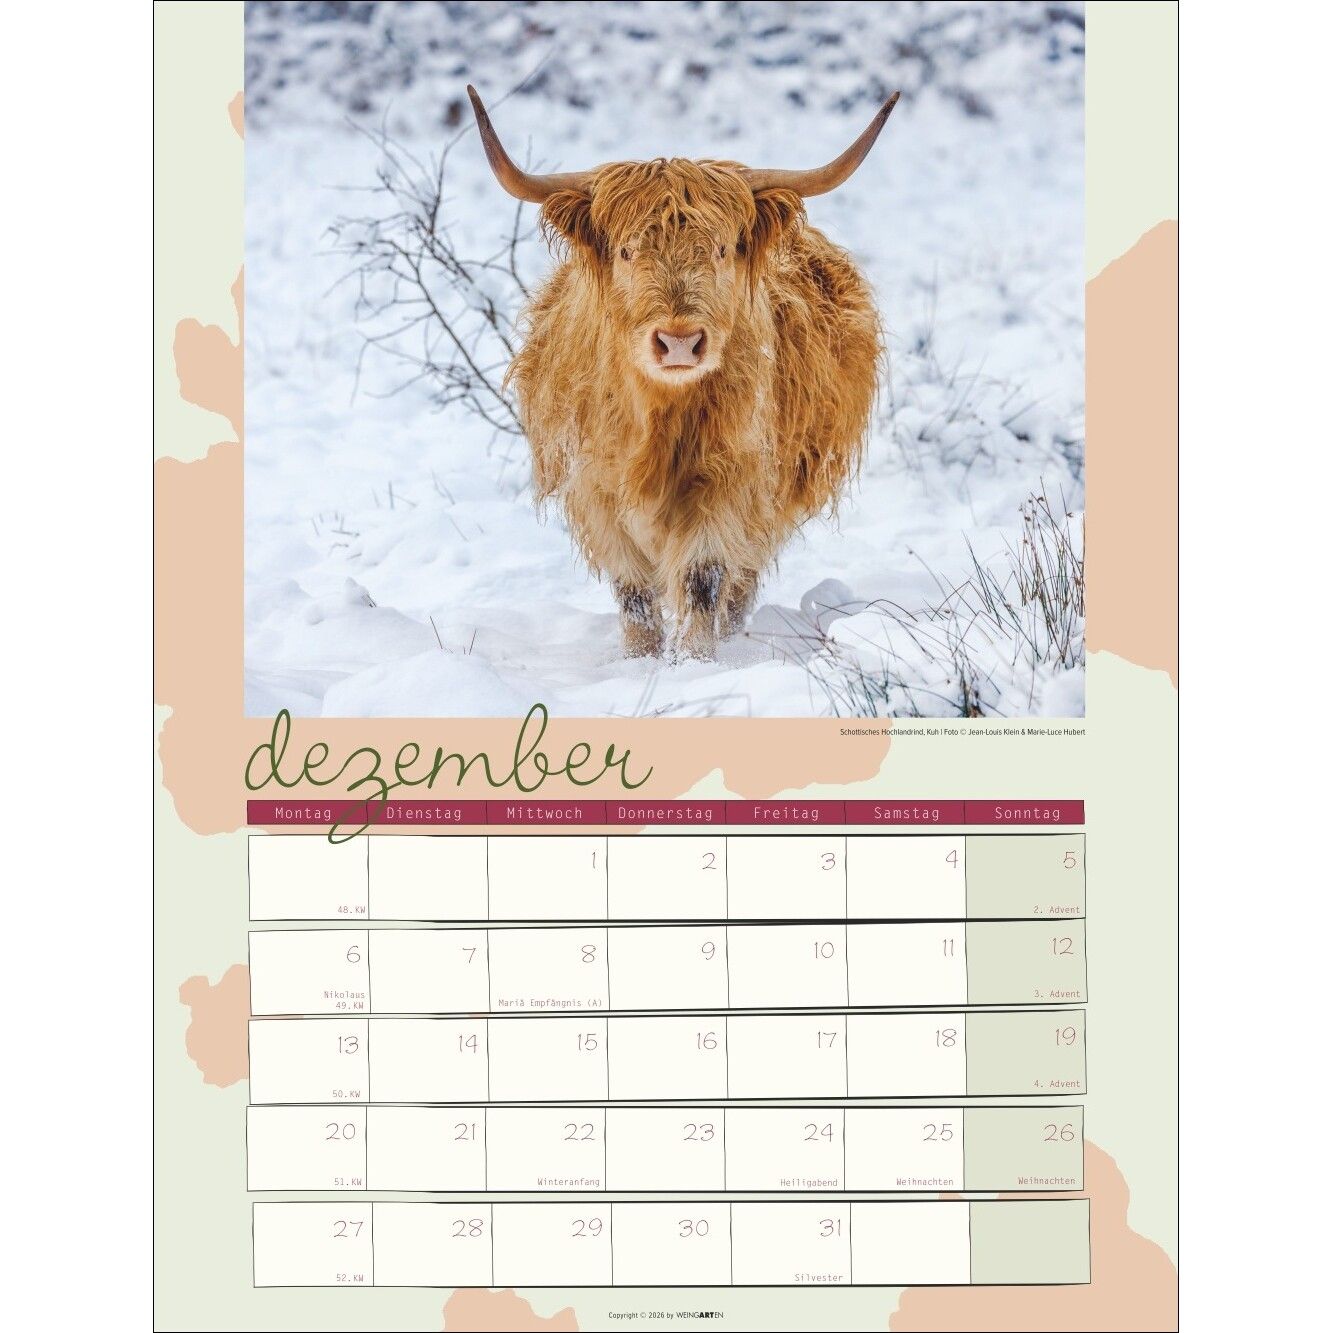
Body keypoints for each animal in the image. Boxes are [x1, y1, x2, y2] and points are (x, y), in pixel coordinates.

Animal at [467, 85, 895, 661]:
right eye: (627, 251)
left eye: (721, 248)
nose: (678, 341)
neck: (657, 418)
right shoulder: (596, 490)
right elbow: (634, 594)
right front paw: (640, 660)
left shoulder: (729, 481)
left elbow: (702, 578)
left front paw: (694, 662)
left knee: (741, 581)